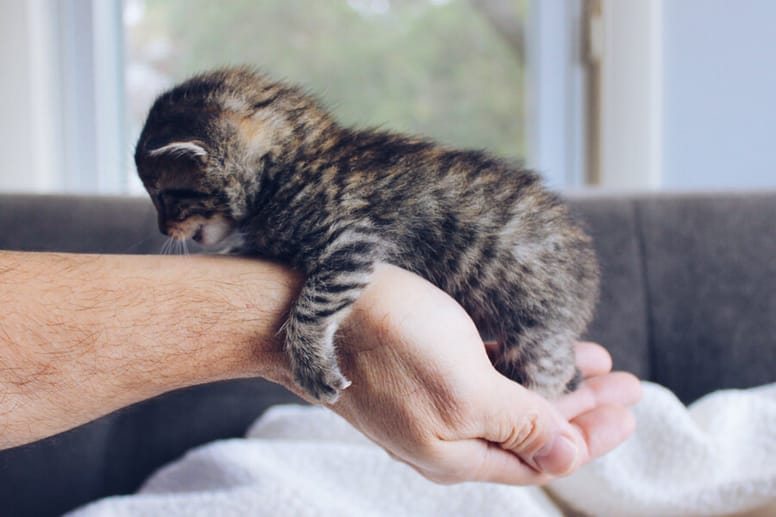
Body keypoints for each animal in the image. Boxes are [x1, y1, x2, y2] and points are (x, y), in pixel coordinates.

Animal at [135, 66, 600, 402]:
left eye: (163, 196)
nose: (161, 227)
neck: (292, 165)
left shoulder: (351, 240)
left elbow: (313, 303)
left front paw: (311, 362)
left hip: (538, 327)